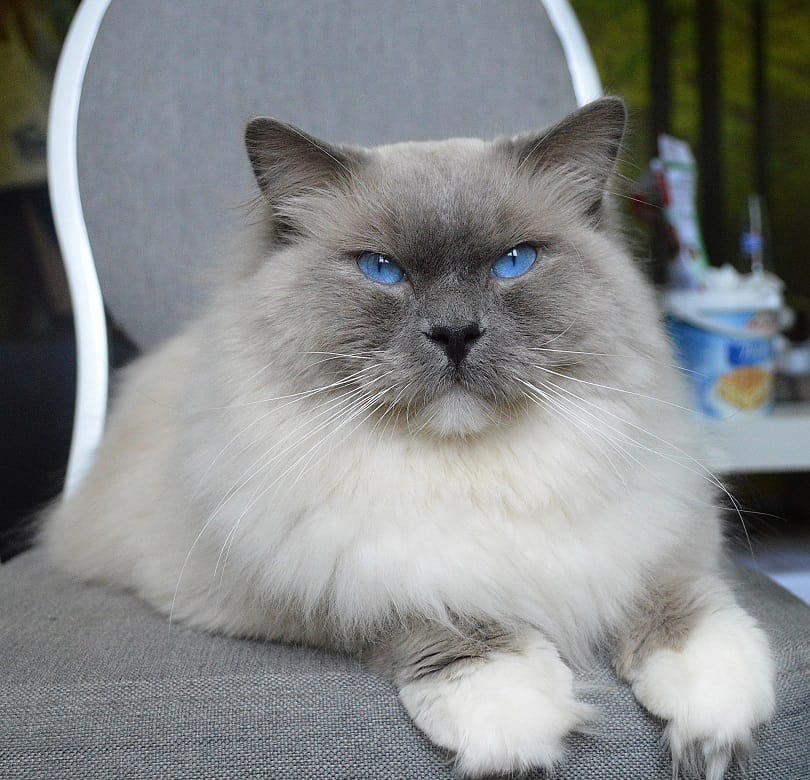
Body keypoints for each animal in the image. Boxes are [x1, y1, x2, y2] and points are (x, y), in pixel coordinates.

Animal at [42, 99, 772, 780]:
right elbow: (443, 619)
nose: (454, 333)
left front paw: (712, 723)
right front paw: (514, 720)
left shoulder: (652, 535)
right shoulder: (321, 579)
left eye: (514, 262)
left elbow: (685, 610)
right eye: (382, 270)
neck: (473, 471)